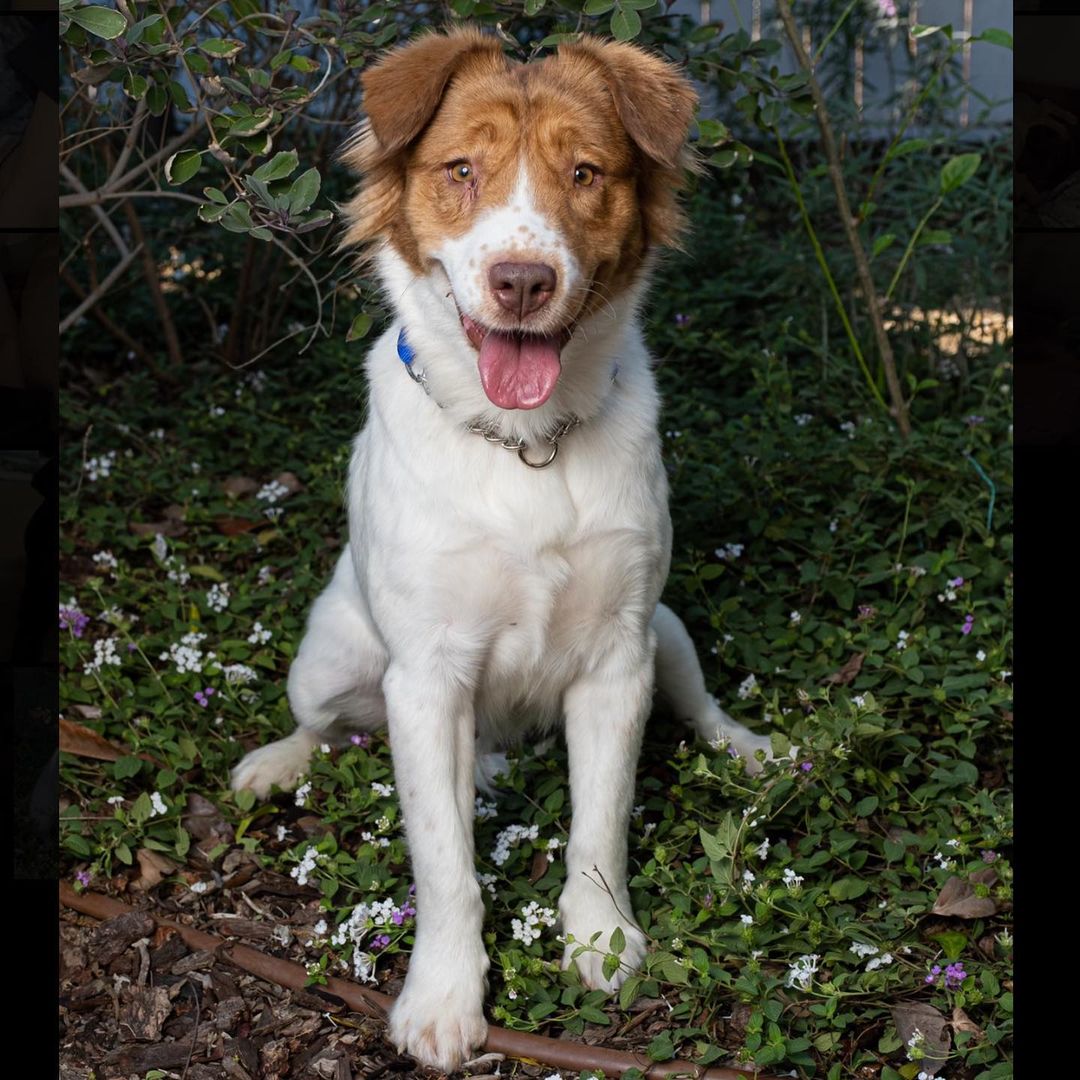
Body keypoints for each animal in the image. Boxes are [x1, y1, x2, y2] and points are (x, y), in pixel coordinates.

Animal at [234, 29, 777, 1075]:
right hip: (329, 662)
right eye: (461, 171)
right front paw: (443, 999)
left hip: (668, 628)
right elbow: (446, 864)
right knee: (323, 727)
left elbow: (600, 827)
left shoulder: (617, 660)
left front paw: (600, 938)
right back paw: (278, 763)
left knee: (698, 704)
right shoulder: (426, 678)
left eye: (585, 173)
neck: (525, 442)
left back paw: (749, 748)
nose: (522, 282)